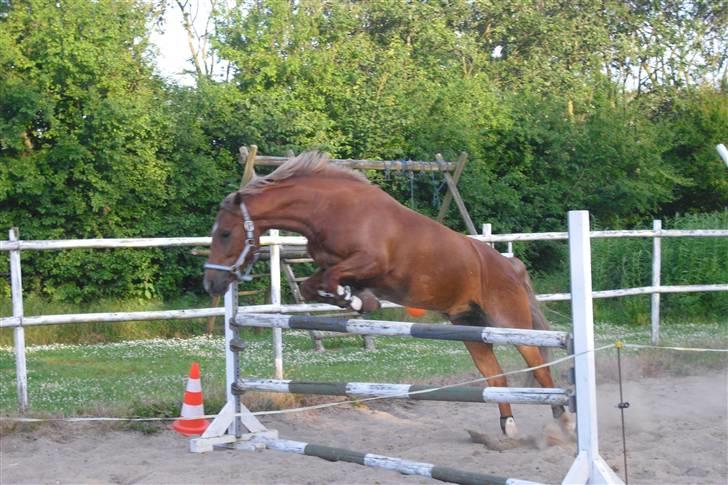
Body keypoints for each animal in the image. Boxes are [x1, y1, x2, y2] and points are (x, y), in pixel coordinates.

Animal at [203, 151, 570, 437]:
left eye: (225, 233)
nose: (212, 284)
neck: (328, 208)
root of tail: (511, 266)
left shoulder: (371, 262)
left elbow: (333, 280)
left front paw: (356, 299)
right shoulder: (331, 266)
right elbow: (314, 284)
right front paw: (358, 299)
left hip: (511, 324)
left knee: (540, 368)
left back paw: (563, 421)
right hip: (471, 328)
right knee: (495, 376)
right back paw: (509, 427)